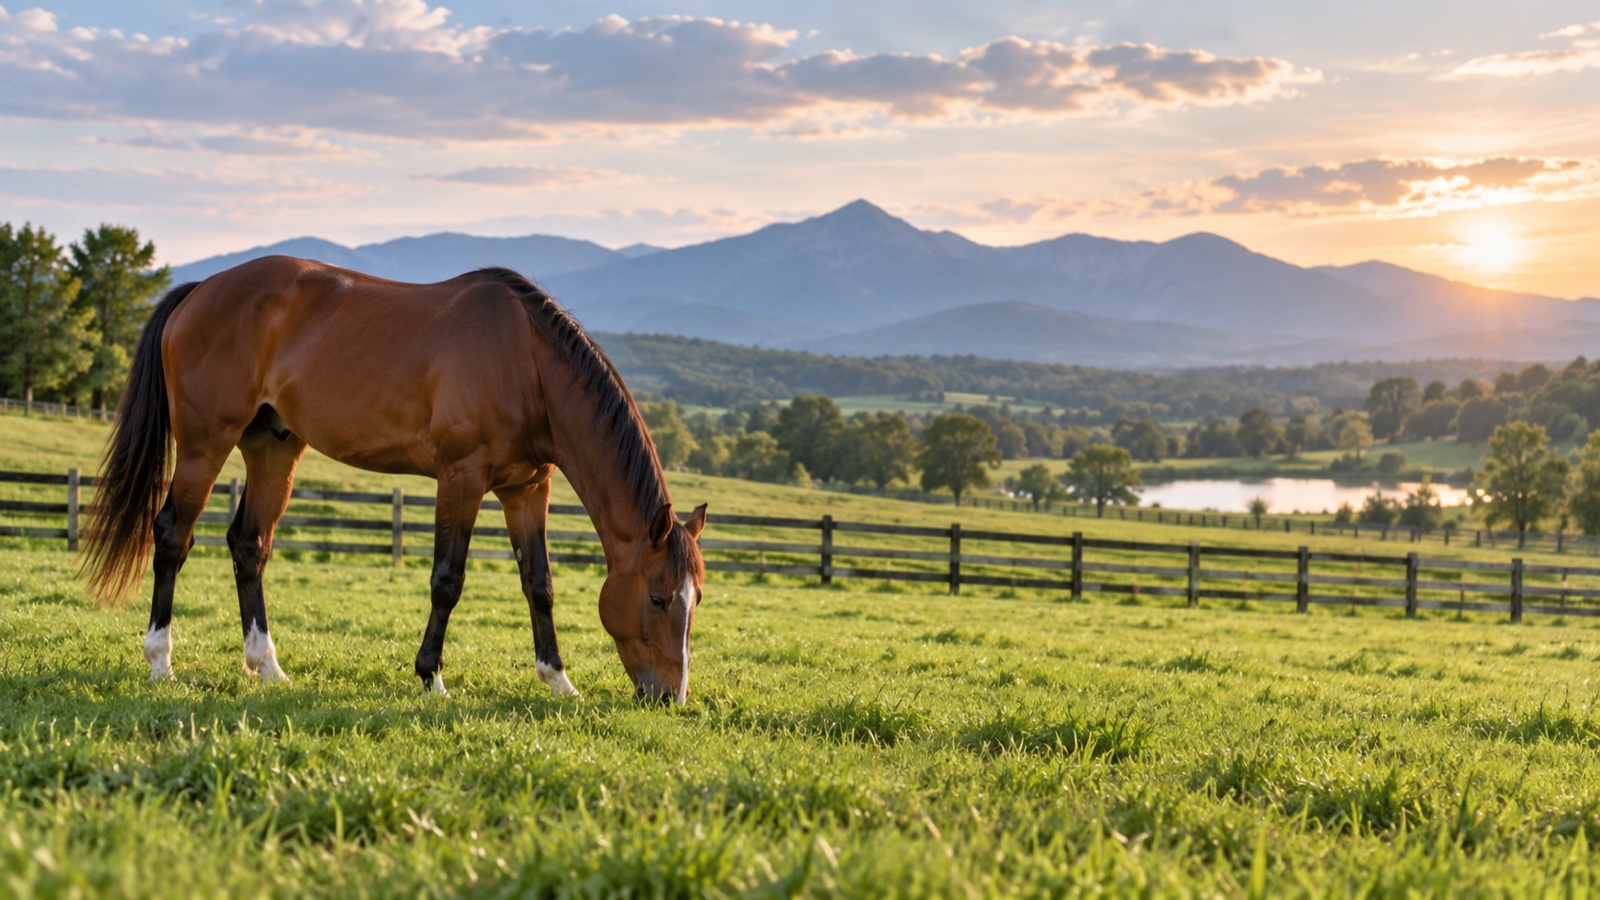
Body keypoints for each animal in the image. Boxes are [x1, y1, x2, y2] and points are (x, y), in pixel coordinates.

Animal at [79, 257, 708, 703]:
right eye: (657, 597)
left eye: (695, 599)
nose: (669, 698)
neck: (526, 361)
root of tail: (202, 288)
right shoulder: (461, 477)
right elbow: (447, 580)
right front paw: (432, 678)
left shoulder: (527, 489)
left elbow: (540, 584)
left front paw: (558, 680)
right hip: (204, 444)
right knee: (172, 536)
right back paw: (161, 661)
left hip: (273, 448)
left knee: (249, 545)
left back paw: (268, 667)